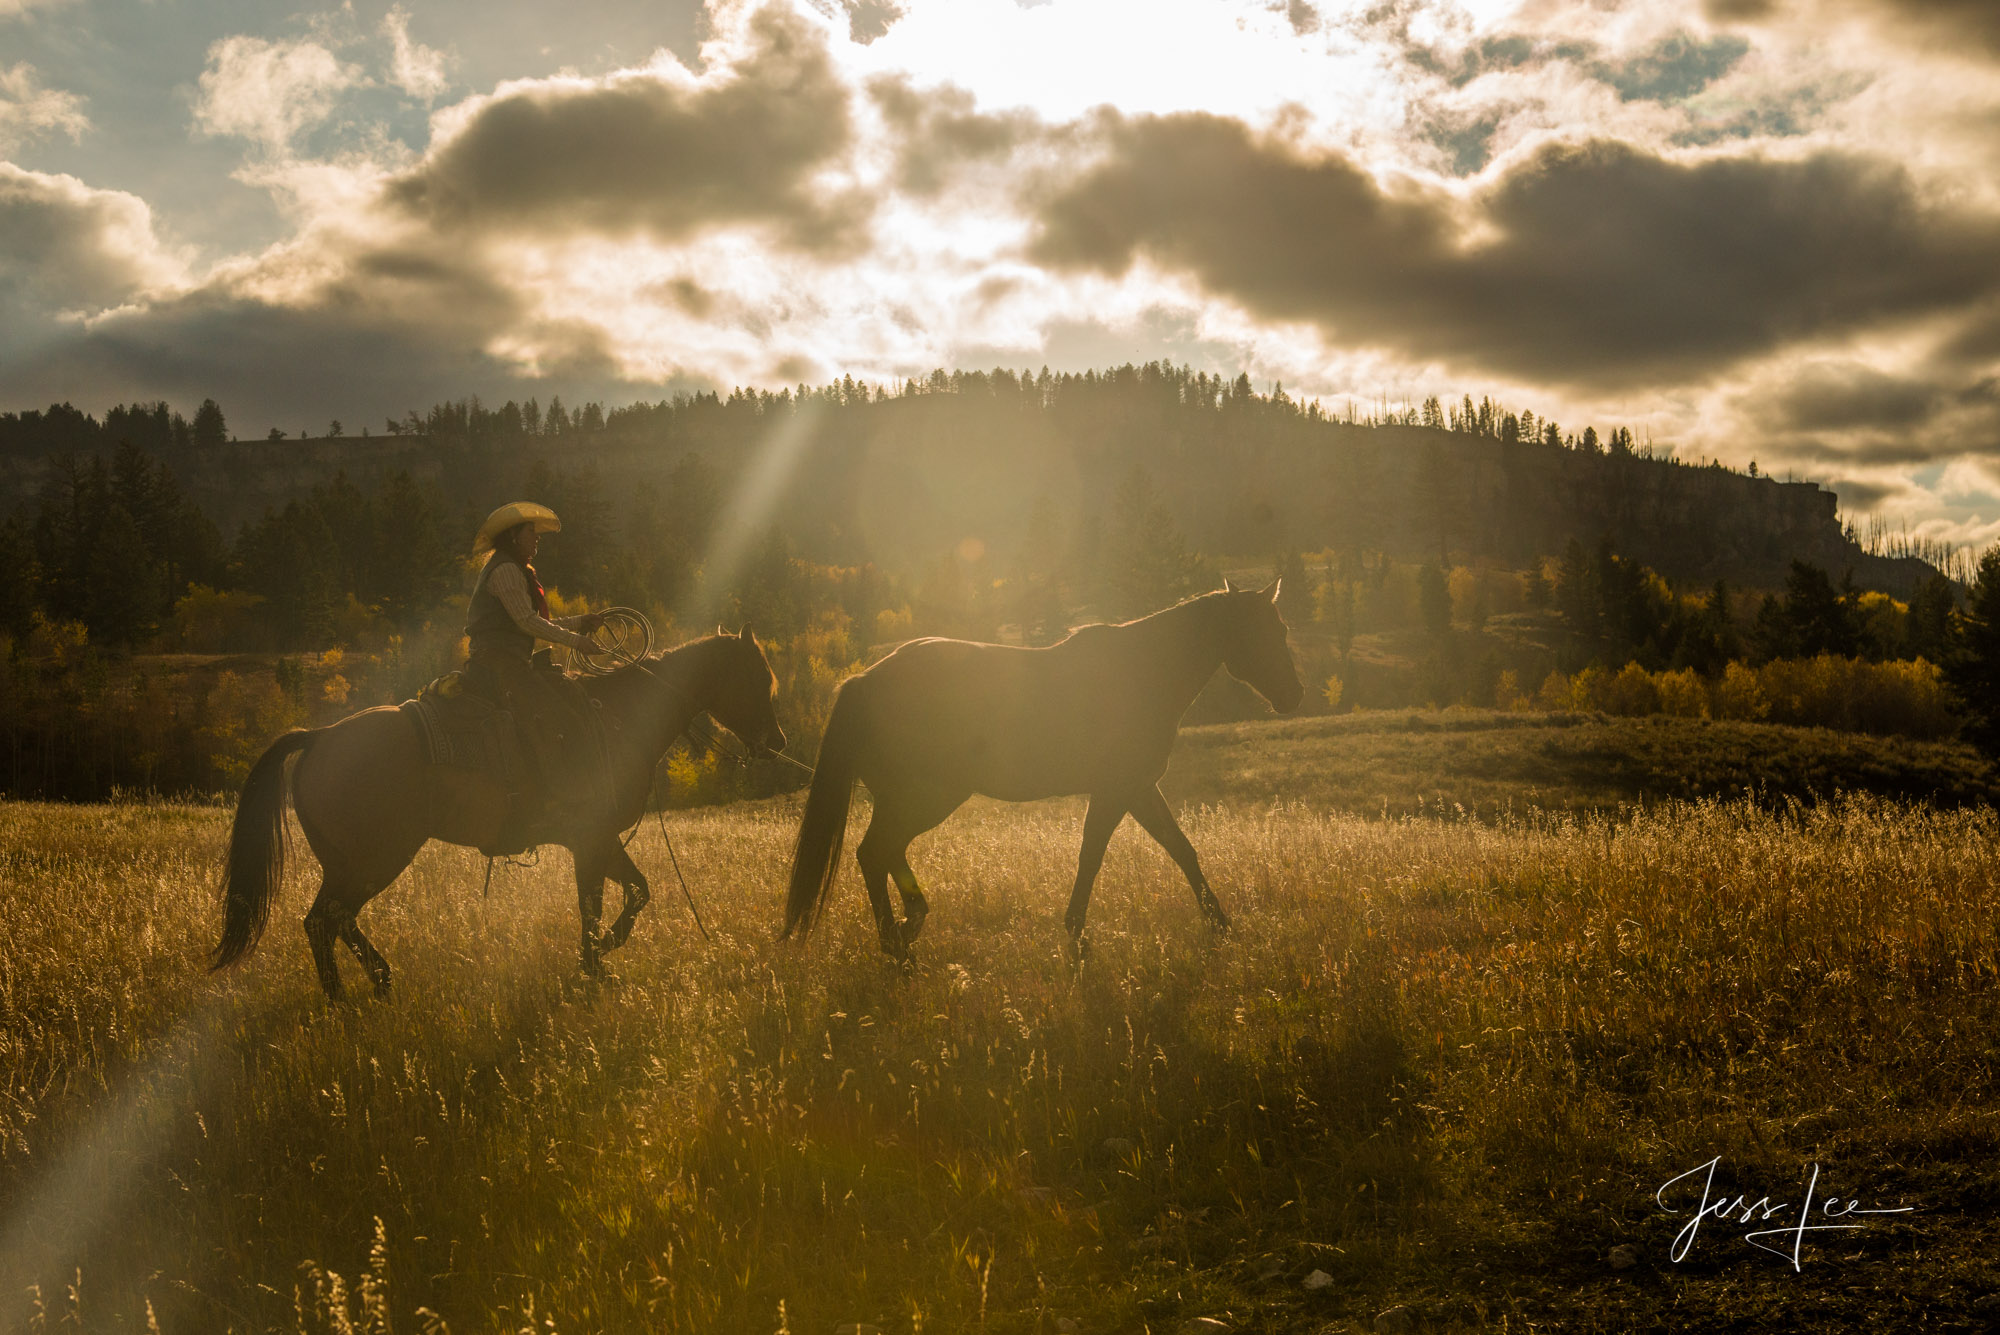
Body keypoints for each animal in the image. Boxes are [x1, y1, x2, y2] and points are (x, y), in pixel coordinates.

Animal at [211, 631, 784, 995]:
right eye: (762, 679)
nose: (777, 743)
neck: (620, 718)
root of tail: (320, 737)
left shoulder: (599, 842)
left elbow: (635, 892)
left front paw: (598, 962)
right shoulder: (590, 839)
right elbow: (596, 906)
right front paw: (594, 965)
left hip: (351, 865)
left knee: (334, 920)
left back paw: (379, 981)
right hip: (376, 859)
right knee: (323, 922)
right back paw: (345, 1001)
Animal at [780, 579, 1312, 955]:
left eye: (1283, 630)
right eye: (1259, 633)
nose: (1293, 696)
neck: (1141, 673)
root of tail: (866, 681)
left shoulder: (1140, 789)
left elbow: (1183, 851)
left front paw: (1220, 924)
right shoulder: (1115, 790)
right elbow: (1091, 856)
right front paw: (1076, 933)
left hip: (908, 799)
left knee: (884, 851)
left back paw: (911, 922)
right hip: (925, 797)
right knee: (874, 853)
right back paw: (895, 942)